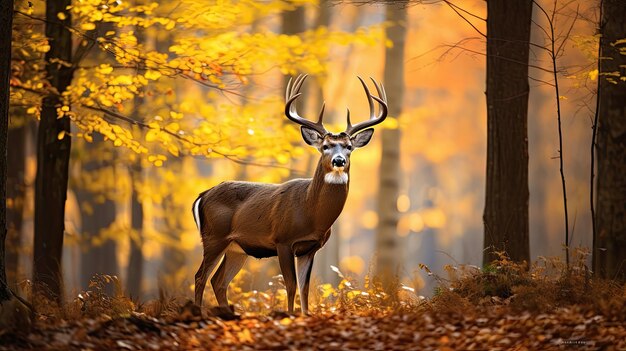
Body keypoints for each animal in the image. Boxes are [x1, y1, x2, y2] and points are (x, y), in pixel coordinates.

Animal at [190, 75, 386, 316]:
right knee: (200, 276)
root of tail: (203, 194)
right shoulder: (282, 240)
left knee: (218, 281)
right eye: (325, 146)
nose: (339, 160)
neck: (312, 213)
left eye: (349, 147)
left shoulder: (309, 248)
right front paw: (290, 316)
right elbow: (291, 285)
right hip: (213, 236)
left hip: (236, 248)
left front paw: (304, 315)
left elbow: (305, 288)